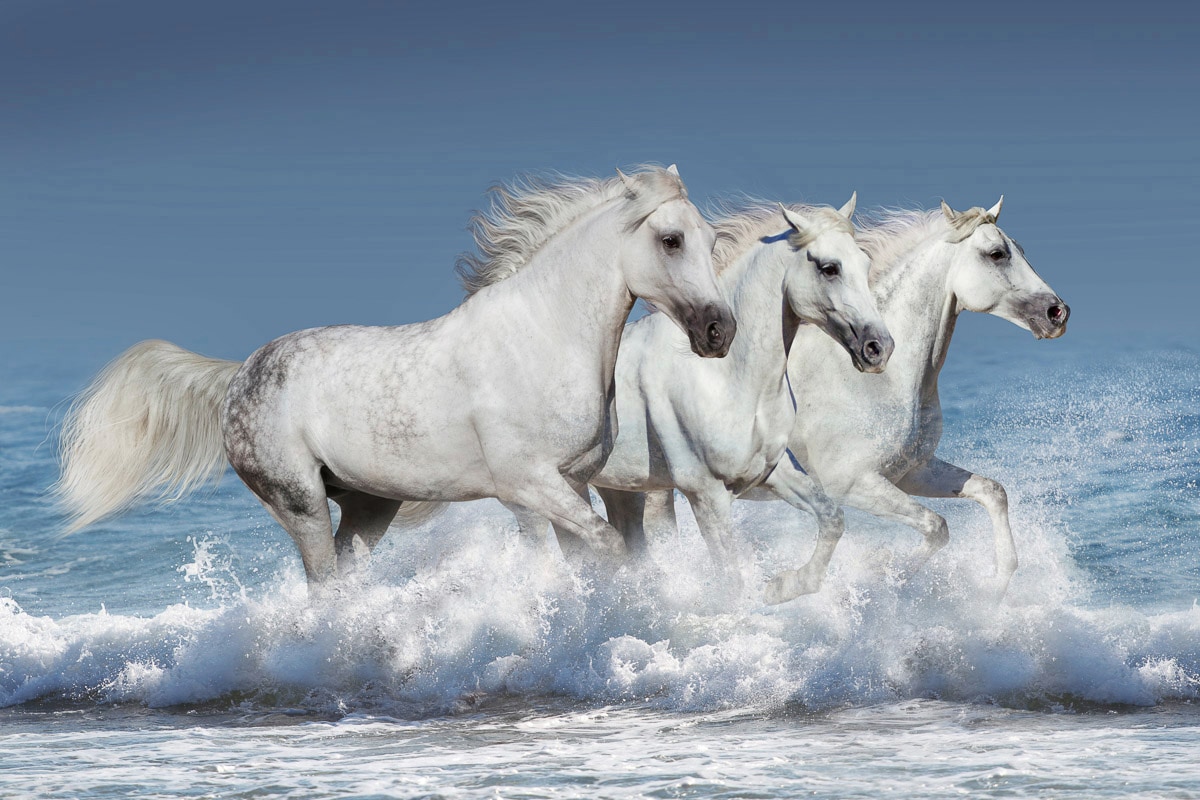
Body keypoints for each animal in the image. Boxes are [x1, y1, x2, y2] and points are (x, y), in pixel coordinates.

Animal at [55, 166, 737, 591]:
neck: (541, 338)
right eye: (671, 239)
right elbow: (604, 549)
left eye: (709, 239)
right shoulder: (529, 484)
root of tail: (239, 374)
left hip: (368, 505)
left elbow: (596, 558)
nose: (719, 332)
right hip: (299, 502)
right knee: (325, 588)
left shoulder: (564, 485)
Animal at [499, 195, 893, 590]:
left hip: (617, 490)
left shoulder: (772, 473)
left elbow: (832, 519)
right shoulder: (706, 493)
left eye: (865, 262)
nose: (879, 348)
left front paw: (782, 587)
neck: (728, 377)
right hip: (536, 497)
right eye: (830, 268)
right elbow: (731, 578)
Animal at [743, 198, 1070, 603]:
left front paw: (995, 586)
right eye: (996, 253)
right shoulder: (852, 484)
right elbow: (936, 526)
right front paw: (878, 573)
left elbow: (992, 492)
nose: (1058, 313)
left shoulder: (912, 472)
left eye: (1020, 250)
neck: (876, 379)